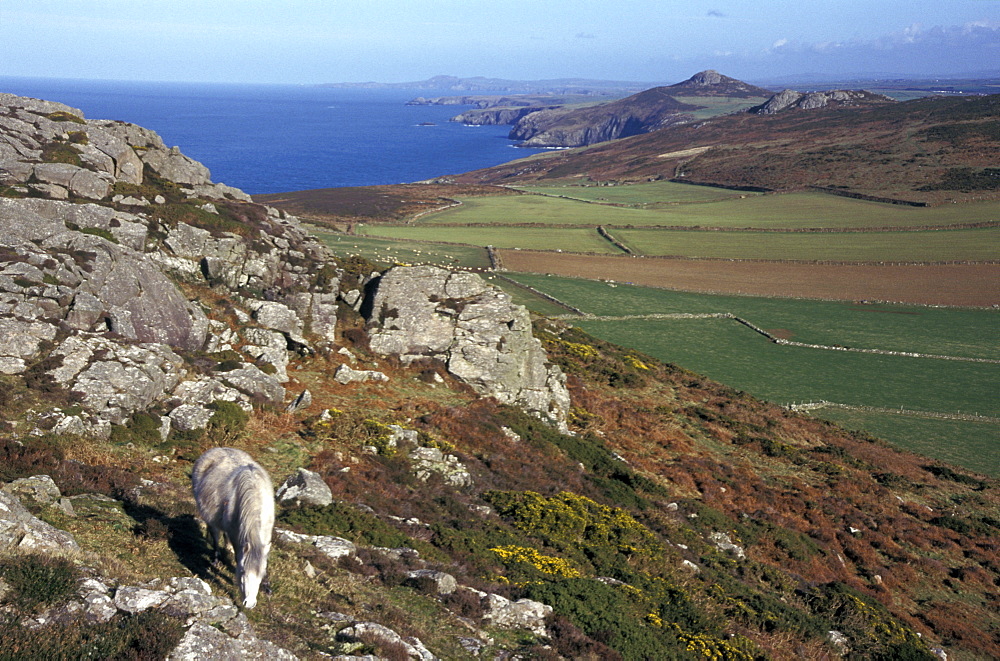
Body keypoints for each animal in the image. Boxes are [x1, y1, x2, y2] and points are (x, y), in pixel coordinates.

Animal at [192, 446, 276, 604]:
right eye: (242, 571)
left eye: (260, 574)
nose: (249, 604)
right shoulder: (236, 534)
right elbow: (238, 554)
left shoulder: (265, 534)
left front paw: (267, 588)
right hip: (210, 518)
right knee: (216, 535)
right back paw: (217, 559)